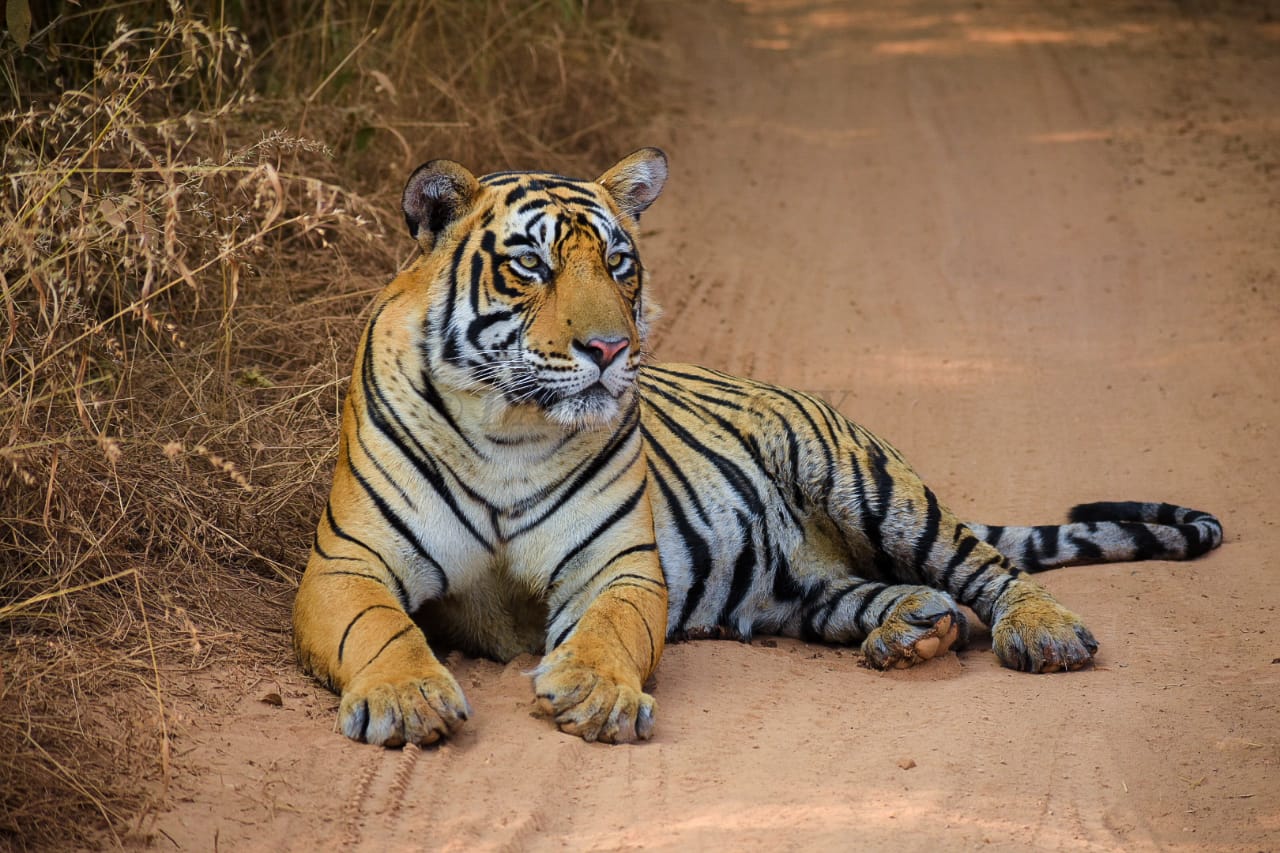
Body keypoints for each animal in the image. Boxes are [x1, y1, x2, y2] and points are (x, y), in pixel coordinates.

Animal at [290, 146, 1218, 742]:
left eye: (620, 264)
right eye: (532, 265)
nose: (610, 348)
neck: (508, 426)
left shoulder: (618, 565)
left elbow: (608, 629)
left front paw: (593, 693)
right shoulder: (346, 564)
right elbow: (381, 628)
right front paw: (408, 699)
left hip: (863, 476)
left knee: (986, 565)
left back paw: (1042, 632)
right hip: (802, 586)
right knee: (864, 592)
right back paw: (914, 630)